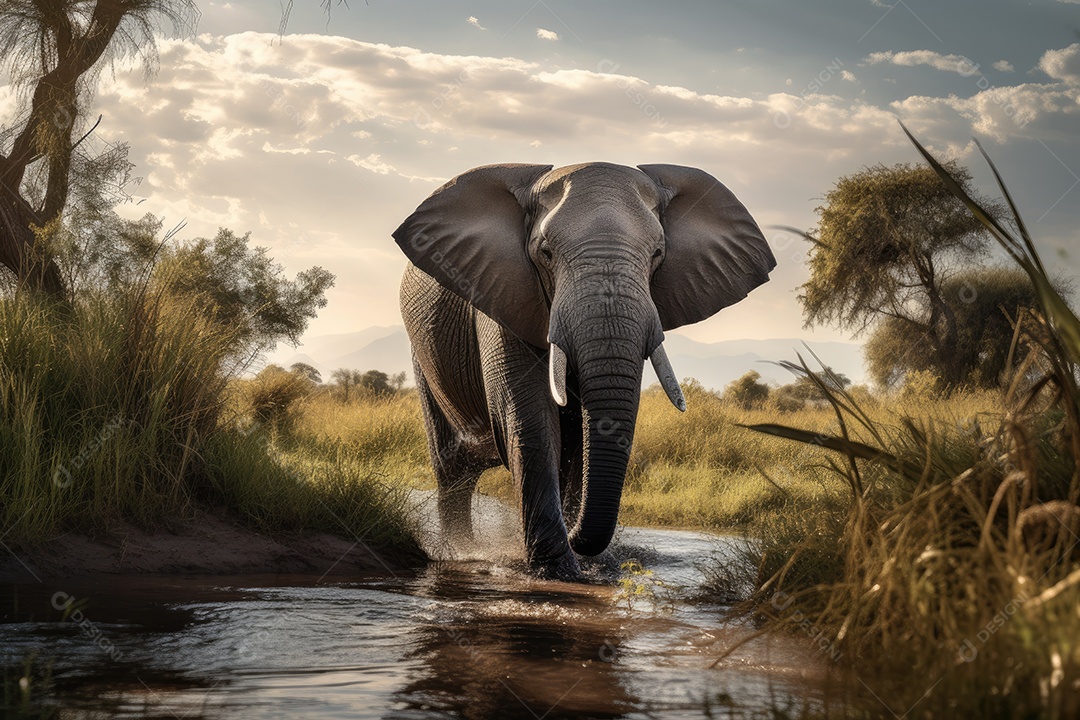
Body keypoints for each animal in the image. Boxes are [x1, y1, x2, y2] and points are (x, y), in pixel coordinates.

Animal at [393, 162, 775, 581]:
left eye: (657, 254)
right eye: (545, 252)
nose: (577, 533)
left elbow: (580, 439)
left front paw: (587, 565)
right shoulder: (501, 293)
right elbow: (531, 422)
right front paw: (558, 572)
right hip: (423, 358)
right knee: (452, 473)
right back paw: (459, 551)